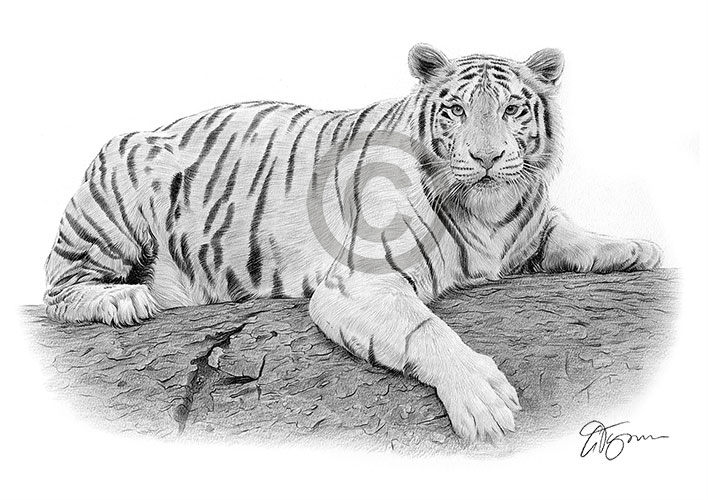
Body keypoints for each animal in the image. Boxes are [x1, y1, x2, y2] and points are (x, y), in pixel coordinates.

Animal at [44, 44, 662, 442]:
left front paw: (636, 247)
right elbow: (427, 331)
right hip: (119, 191)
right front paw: (483, 398)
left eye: (512, 109)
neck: (491, 213)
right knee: (58, 287)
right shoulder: (362, 282)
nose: (486, 157)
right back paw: (124, 299)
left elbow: (569, 231)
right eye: (456, 110)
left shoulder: (530, 227)